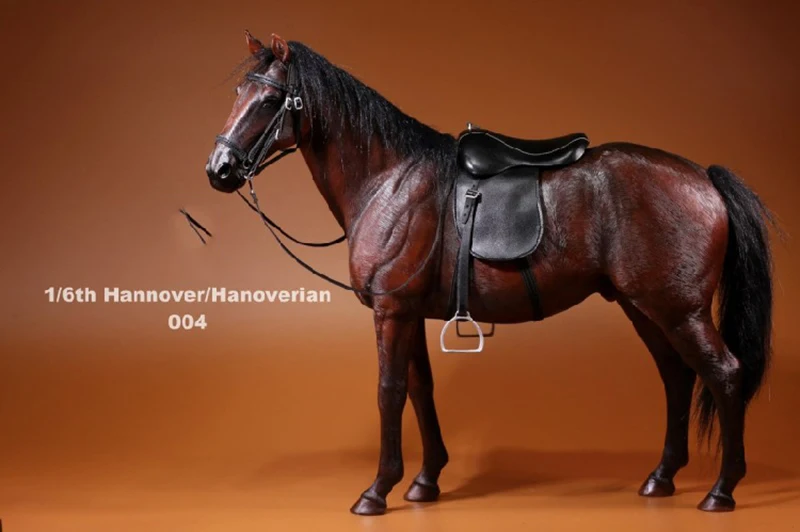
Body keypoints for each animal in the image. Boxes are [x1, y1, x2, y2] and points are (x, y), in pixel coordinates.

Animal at [205, 32, 775, 515]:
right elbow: (420, 389)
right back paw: (661, 478)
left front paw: (377, 490)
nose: (218, 170)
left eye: (269, 100)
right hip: (644, 307)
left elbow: (390, 390)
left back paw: (722, 490)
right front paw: (425, 481)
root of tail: (703, 177)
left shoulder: (391, 312)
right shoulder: (409, 313)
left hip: (679, 310)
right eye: (238, 91)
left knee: (724, 373)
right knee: (677, 376)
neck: (390, 181)